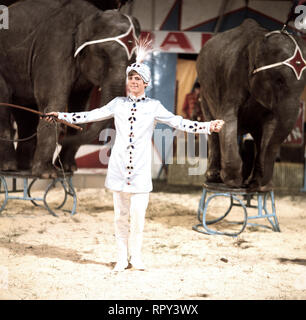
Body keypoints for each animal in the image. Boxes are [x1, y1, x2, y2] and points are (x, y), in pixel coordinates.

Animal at [0, 0, 139, 178]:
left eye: (133, 60)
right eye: (103, 55)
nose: (62, 138)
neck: (88, 16)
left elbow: (80, 107)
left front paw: (68, 169)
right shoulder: (55, 49)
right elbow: (55, 101)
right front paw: (48, 174)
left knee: (25, 113)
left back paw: (25, 166)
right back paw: (9, 167)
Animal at [197, 18, 304, 191]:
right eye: (279, 80)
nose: (260, 184)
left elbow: (271, 125)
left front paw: (259, 185)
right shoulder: (231, 76)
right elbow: (227, 118)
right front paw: (233, 181)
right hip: (204, 94)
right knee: (212, 129)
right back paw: (214, 177)